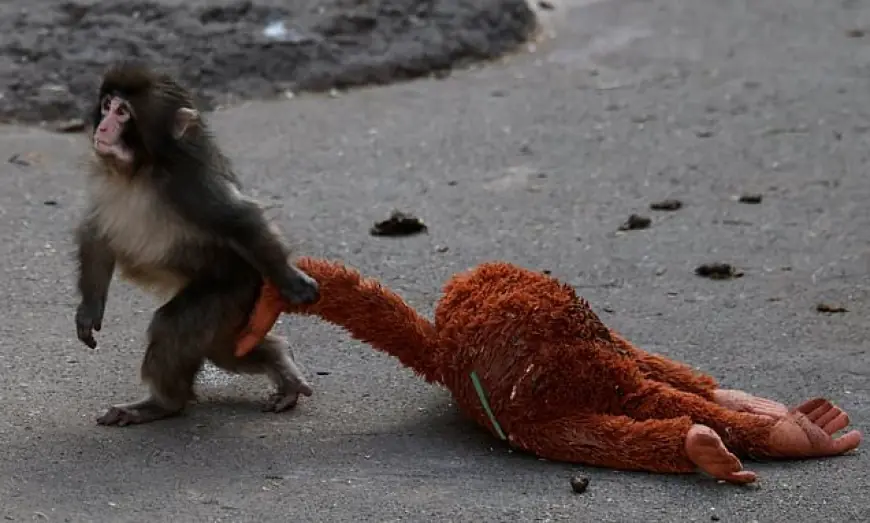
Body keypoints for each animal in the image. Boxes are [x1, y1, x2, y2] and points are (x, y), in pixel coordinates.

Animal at [74, 61, 320, 426]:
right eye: (106, 105)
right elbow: (96, 233)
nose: (103, 127)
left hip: (233, 289)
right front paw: (90, 308)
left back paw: (163, 404)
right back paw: (280, 360)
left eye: (123, 112)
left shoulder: (188, 184)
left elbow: (241, 219)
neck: (139, 170)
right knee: (226, 350)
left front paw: (291, 280)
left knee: (174, 327)